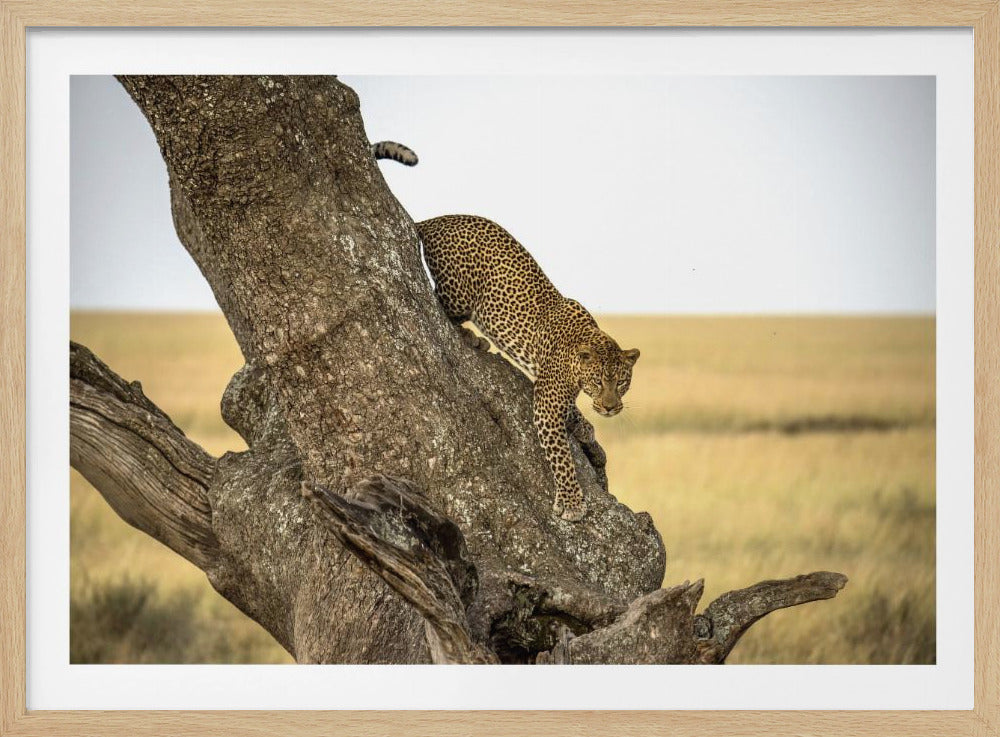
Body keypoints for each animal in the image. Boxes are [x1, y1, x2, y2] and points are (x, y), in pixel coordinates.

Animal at [416, 214, 640, 522]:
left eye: (621, 383)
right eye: (598, 382)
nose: (610, 408)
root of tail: (433, 220)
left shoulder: (549, 387)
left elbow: (572, 409)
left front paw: (583, 426)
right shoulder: (547, 400)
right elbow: (561, 457)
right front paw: (572, 502)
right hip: (459, 293)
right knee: (440, 304)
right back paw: (473, 337)